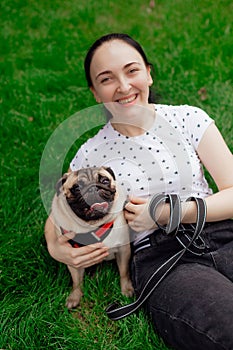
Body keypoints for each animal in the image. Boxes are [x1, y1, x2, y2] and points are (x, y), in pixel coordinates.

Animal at [51, 165, 135, 308]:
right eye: (76, 188)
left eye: (105, 181)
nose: (93, 187)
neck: (91, 225)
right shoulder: (74, 259)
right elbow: (76, 281)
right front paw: (75, 297)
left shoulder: (123, 250)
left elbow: (124, 272)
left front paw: (126, 290)